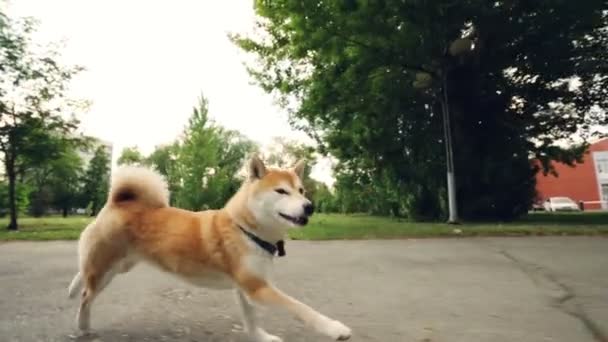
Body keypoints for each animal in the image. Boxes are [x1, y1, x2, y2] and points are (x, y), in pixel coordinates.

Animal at [66, 156, 352, 340]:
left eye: (301, 190)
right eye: (281, 191)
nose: (309, 207)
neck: (245, 229)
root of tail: (118, 201)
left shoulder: (247, 287)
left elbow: (251, 318)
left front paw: (261, 337)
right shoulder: (257, 287)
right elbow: (302, 309)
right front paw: (335, 328)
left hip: (119, 266)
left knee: (84, 276)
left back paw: (73, 288)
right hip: (106, 267)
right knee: (87, 296)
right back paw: (82, 326)